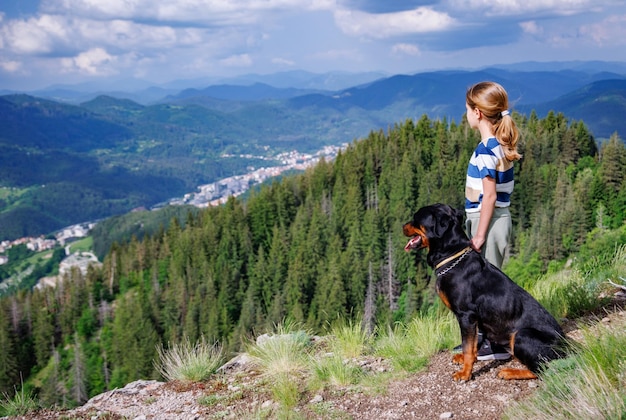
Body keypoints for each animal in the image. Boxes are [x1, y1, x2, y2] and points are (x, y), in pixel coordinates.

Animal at [402, 203, 564, 380]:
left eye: (416, 218)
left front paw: (465, 373)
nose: (403, 226)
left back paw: (509, 372)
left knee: (541, 369)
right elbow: (472, 345)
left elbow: (467, 346)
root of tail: (567, 347)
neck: (452, 255)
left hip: (523, 335)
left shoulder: (466, 315)